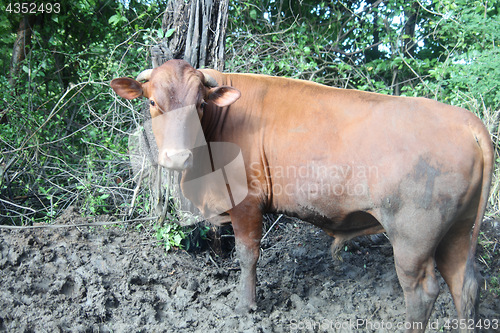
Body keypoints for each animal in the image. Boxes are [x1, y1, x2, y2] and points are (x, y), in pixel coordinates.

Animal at [111, 59, 494, 330]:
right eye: (152, 102)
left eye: (200, 105)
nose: (177, 157)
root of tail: (467, 121)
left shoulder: (245, 202)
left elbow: (247, 255)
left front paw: (245, 306)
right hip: (457, 229)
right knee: (465, 285)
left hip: (414, 235)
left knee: (421, 291)